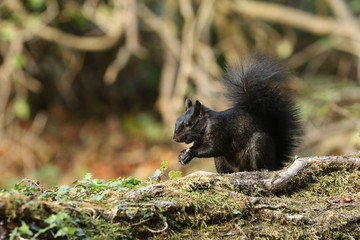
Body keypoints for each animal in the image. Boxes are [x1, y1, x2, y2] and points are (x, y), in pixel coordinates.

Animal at [173, 53, 302, 172]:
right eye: (176, 121)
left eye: (188, 123)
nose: (175, 139)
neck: (207, 123)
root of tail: (275, 162)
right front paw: (182, 155)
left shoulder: (218, 131)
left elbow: (214, 148)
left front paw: (190, 153)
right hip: (220, 161)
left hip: (258, 147)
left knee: (264, 166)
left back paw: (261, 169)